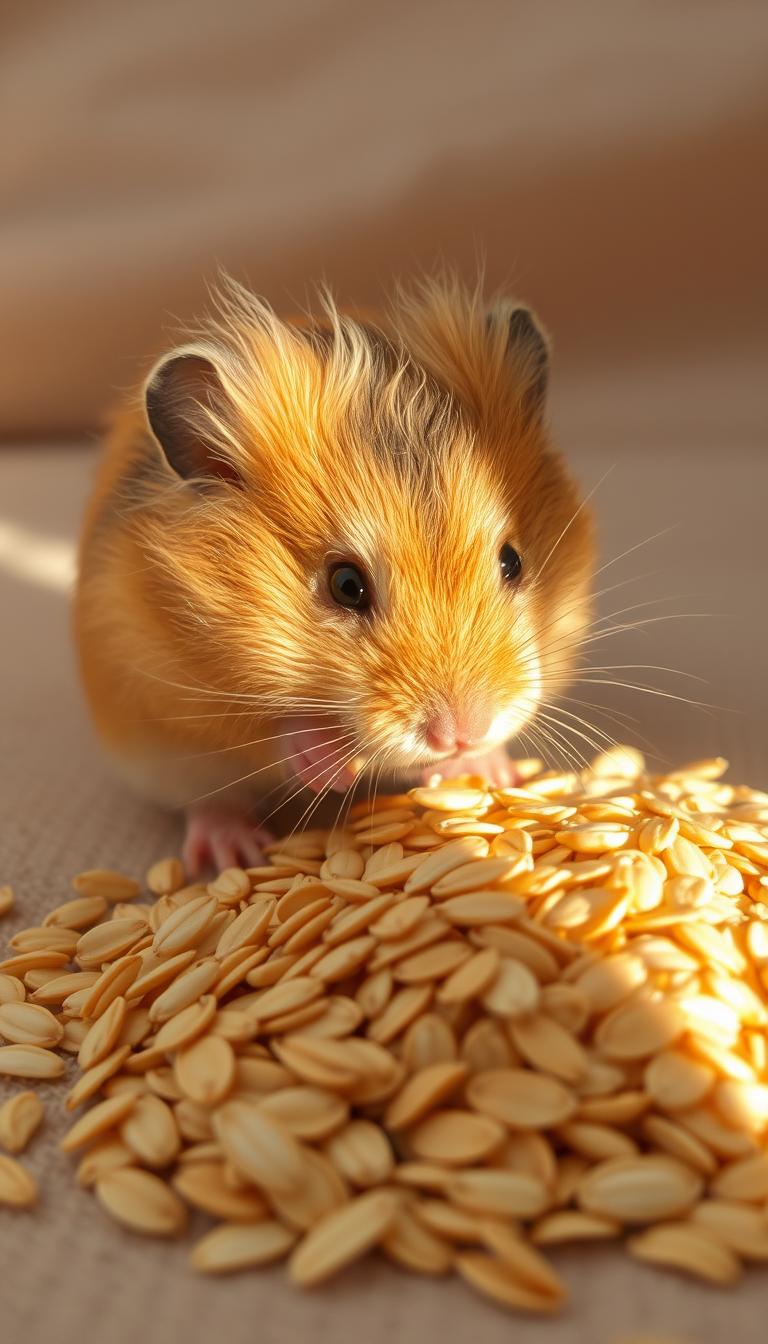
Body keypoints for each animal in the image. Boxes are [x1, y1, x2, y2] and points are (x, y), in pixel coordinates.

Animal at [74, 274, 594, 874]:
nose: (461, 735)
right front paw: (335, 771)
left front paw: (481, 768)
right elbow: (267, 725)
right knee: (209, 803)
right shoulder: (158, 677)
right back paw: (236, 851)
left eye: (512, 562)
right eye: (345, 585)